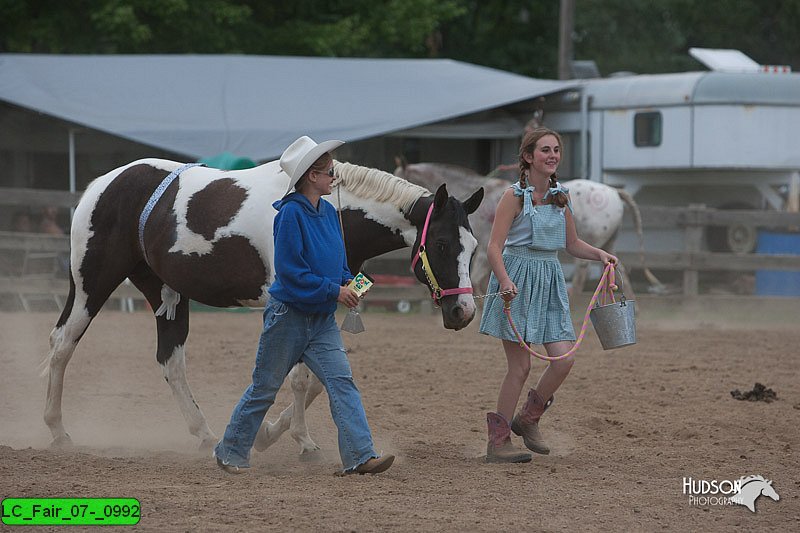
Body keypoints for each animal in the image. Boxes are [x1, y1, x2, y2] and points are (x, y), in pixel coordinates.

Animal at [43, 158, 482, 448]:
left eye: (474, 247)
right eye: (442, 244)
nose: (463, 312)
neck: (328, 211)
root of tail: (103, 184)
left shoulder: (326, 302)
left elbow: (319, 377)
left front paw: (268, 433)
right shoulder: (293, 304)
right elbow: (298, 376)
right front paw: (303, 441)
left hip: (166, 294)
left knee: (171, 361)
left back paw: (205, 434)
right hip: (91, 285)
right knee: (62, 344)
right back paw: (57, 431)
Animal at [394, 160, 664, 298]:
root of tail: (613, 192)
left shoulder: (482, 251)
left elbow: (479, 280)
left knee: (581, 275)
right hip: (607, 245)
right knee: (620, 269)